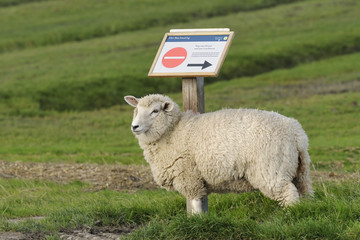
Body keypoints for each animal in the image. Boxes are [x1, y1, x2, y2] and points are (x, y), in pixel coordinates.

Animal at [124, 94, 312, 214]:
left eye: (155, 111)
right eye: (136, 109)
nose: (134, 126)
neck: (173, 131)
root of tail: (295, 132)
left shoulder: (189, 176)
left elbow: (195, 202)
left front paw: (196, 221)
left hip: (272, 169)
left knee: (288, 193)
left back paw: (290, 215)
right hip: (299, 169)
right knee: (305, 191)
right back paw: (306, 209)